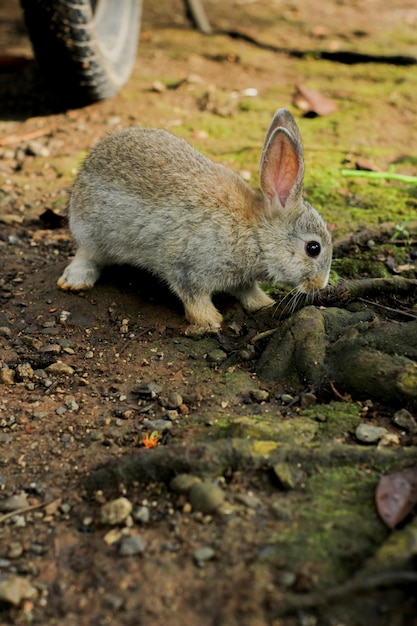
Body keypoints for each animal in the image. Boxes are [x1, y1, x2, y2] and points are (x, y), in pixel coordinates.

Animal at [59, 107, 332, 332]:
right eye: (313, 248)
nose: (321, 285)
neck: (256, 234)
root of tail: (86, 167)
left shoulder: (241, 277)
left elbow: (247, 289)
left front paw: (263, 303)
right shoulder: (186, 266)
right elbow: (193, 296)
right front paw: (210, 320)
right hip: (91, 231)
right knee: (86, 254)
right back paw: (75, 281)